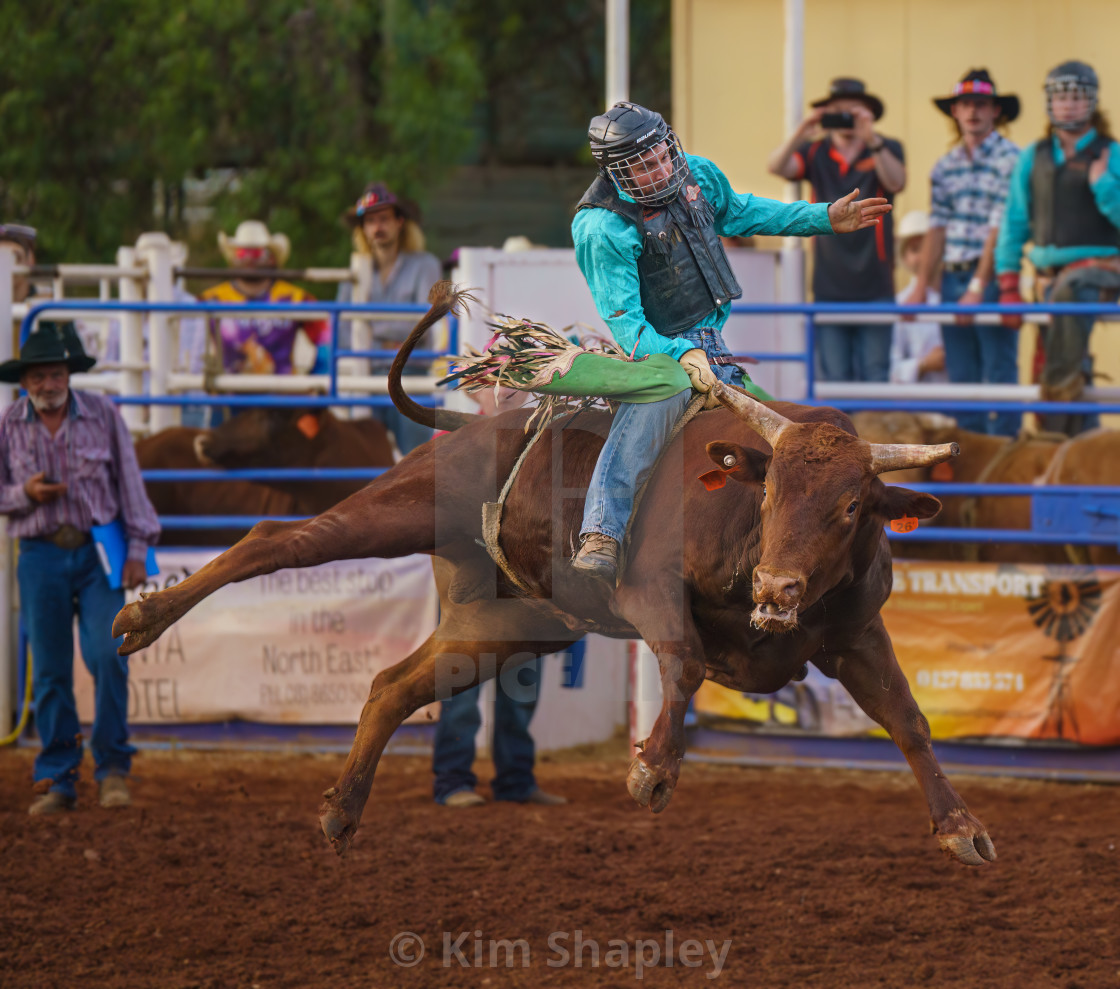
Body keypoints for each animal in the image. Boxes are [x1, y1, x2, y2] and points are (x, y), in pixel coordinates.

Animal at [113, 280, 999, 864]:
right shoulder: (648, 591)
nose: (776, 588)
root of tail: (479, 418)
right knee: (276, 541)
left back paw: (342, 810)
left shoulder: (856, 632)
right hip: (406, 506)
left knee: (394, 685)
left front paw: (961, 825)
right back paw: (140, 618)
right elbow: (684, 661)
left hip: (509, 622)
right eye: (772, 488)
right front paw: (651, 769)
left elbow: (908, 719)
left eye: (852, 507)